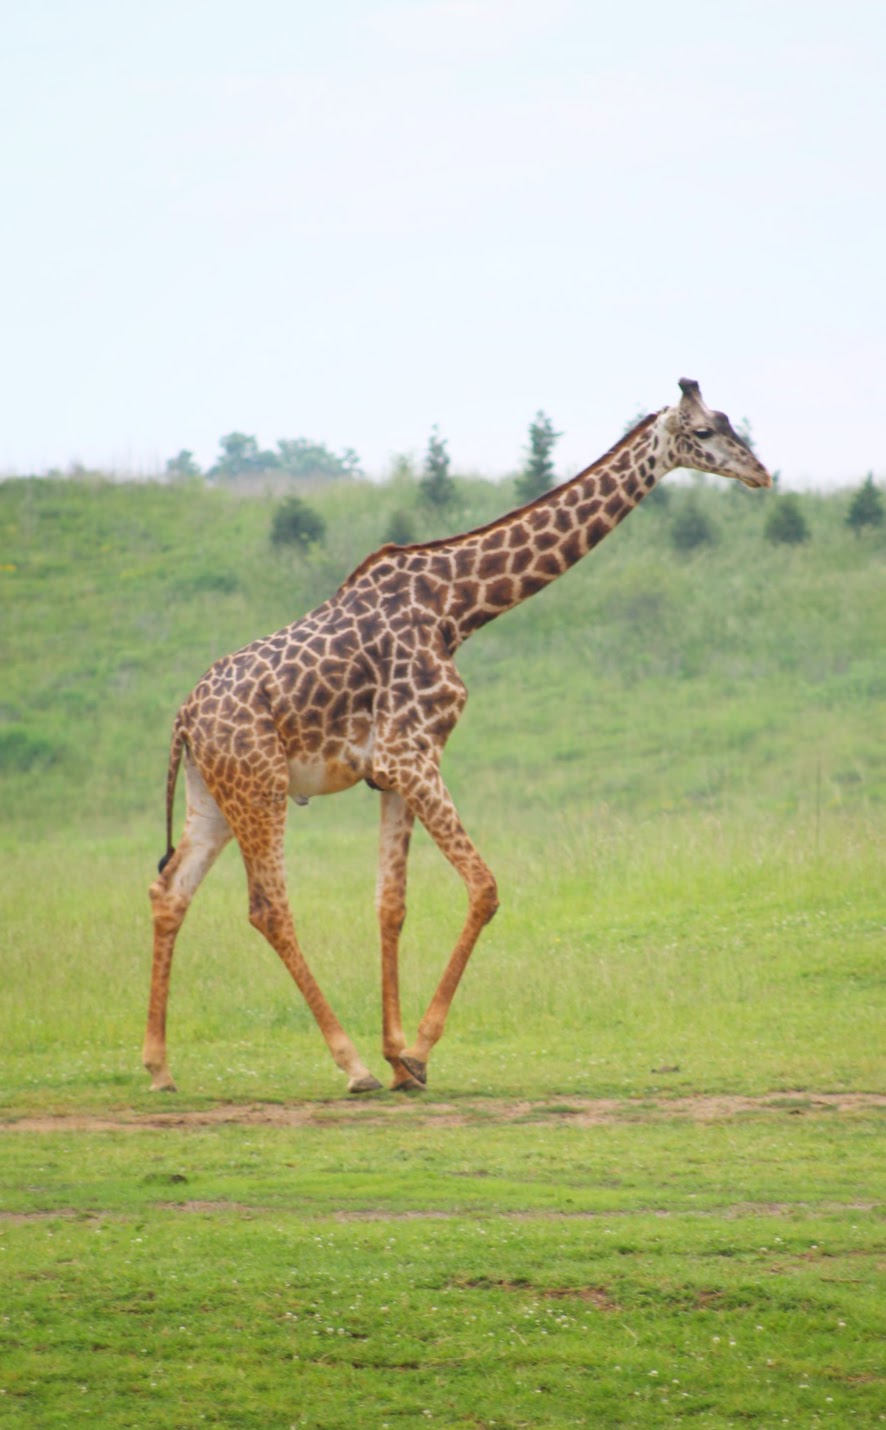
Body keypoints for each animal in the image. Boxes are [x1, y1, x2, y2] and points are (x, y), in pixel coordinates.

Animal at [144, 379, 771, 1095]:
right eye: (704, 431)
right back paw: (350, 1065)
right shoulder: (412, 754)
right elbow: (485, 887)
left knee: (170, 891)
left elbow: (391, 904)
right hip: (260, 785)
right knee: (268, 906)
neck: (456, 608)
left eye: (727, 420)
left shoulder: (392, 771)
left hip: (214, 795)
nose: (761, 472)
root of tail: (184, 718)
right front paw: (414, 1053)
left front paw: (399, 1056)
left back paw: (159, 1066)